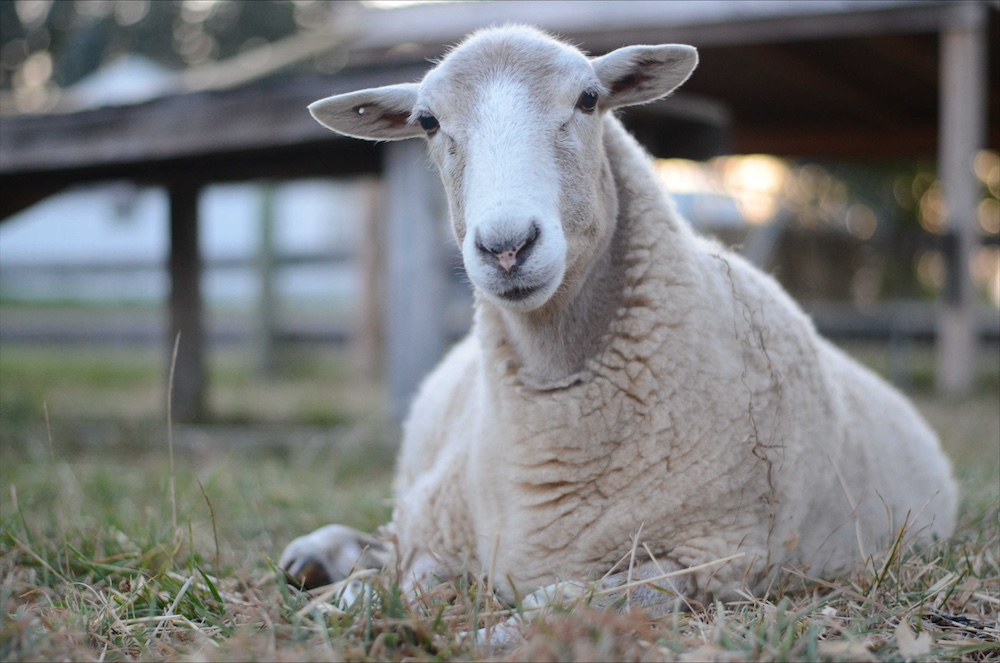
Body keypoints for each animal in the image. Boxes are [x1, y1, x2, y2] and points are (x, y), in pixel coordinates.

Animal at [280, 24, 957, 618]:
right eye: (428, 121)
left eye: (589, 99)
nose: (507, 247)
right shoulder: (440, 529)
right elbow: (396, 586)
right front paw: (356, 598)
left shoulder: (715, 558)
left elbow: (576, 602)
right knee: (383, 537)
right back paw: (316, 554)